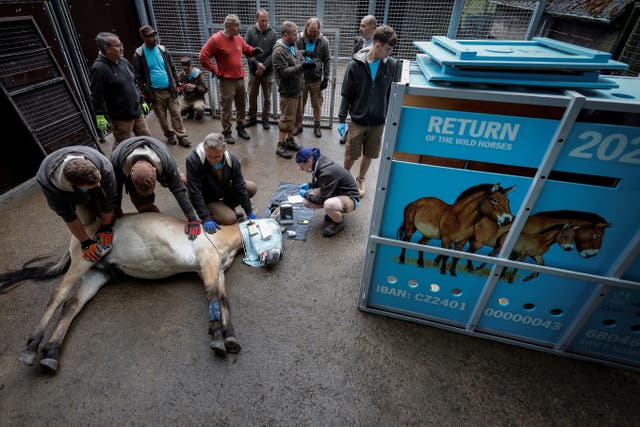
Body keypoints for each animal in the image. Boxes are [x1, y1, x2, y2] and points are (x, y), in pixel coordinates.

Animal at [0, 214, 282, 374]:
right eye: (270, 232)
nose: (275, 258)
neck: (216, 235)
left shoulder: (218, 270)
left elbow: (223, 301)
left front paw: (231, 337)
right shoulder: (207, 263)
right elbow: (213, 298)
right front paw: (217, 338)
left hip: (97, 274)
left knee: (71, 305)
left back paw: (51, 354)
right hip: (81, 262)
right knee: (58, 296)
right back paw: (32, 347)